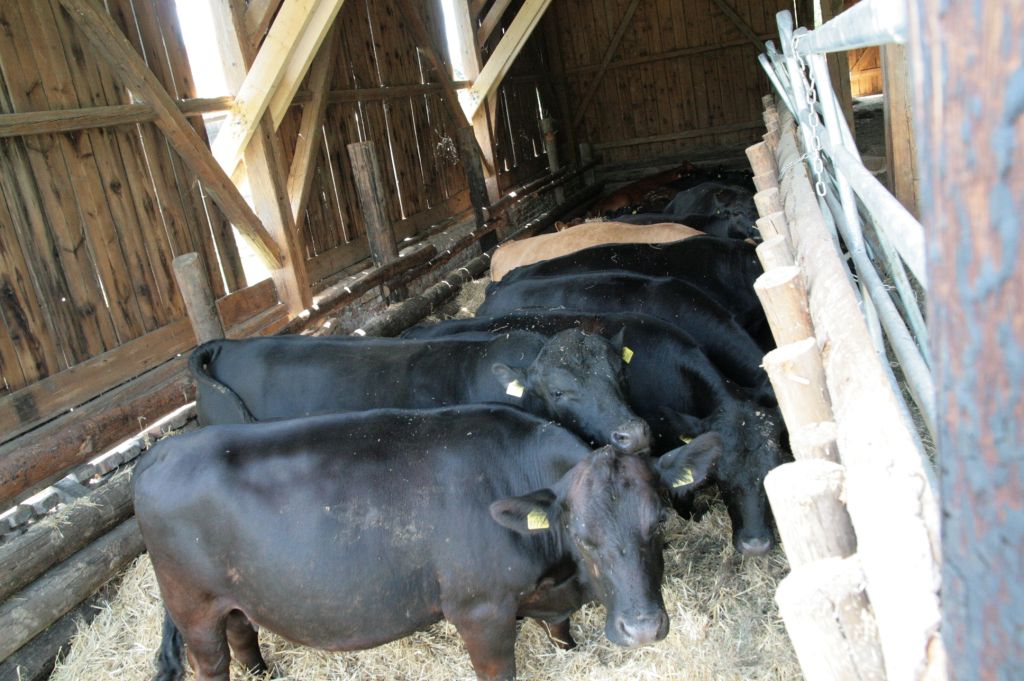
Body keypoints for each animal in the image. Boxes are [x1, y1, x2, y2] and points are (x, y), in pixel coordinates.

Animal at [134, 406, 723, 680]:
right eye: (584, 537)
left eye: (659, 523)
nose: (643, 629)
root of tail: (160, 452)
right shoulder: (479, 610)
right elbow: (500, 668)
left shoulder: (548, 598)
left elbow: (561, 633)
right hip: (193, 609)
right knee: (212, 662)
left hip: (235, 597)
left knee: (243, 632)